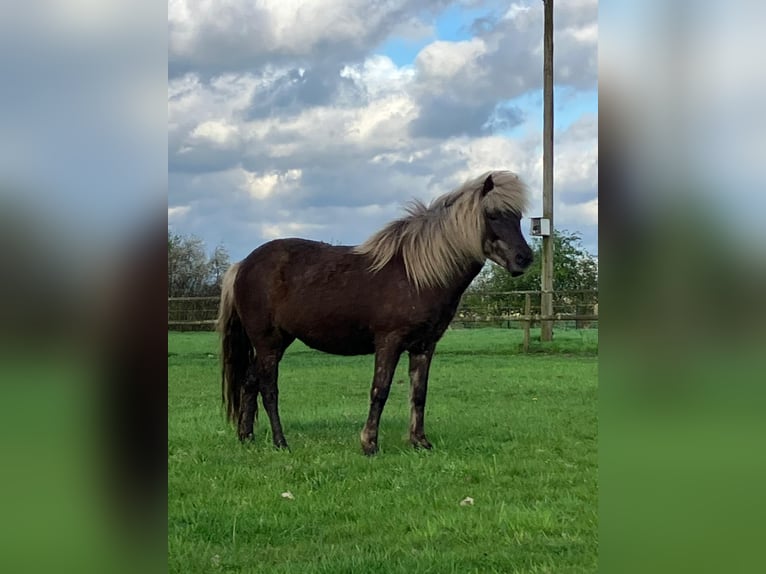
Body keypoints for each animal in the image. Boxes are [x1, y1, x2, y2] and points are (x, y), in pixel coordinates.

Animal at [218, 171, 536, 454]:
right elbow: (379, 391)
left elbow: (418, 394)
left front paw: (420, 442)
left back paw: (247, 438)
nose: (524, 258)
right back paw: (280, 442)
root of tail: (242, 265)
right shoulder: (389, 343)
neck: (416, 275)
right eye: (492, 215)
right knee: (268, 389)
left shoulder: (424, 346)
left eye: (518, 217)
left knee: (249, 382)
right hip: (268, 343)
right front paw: (369, 444)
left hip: (277, 342)